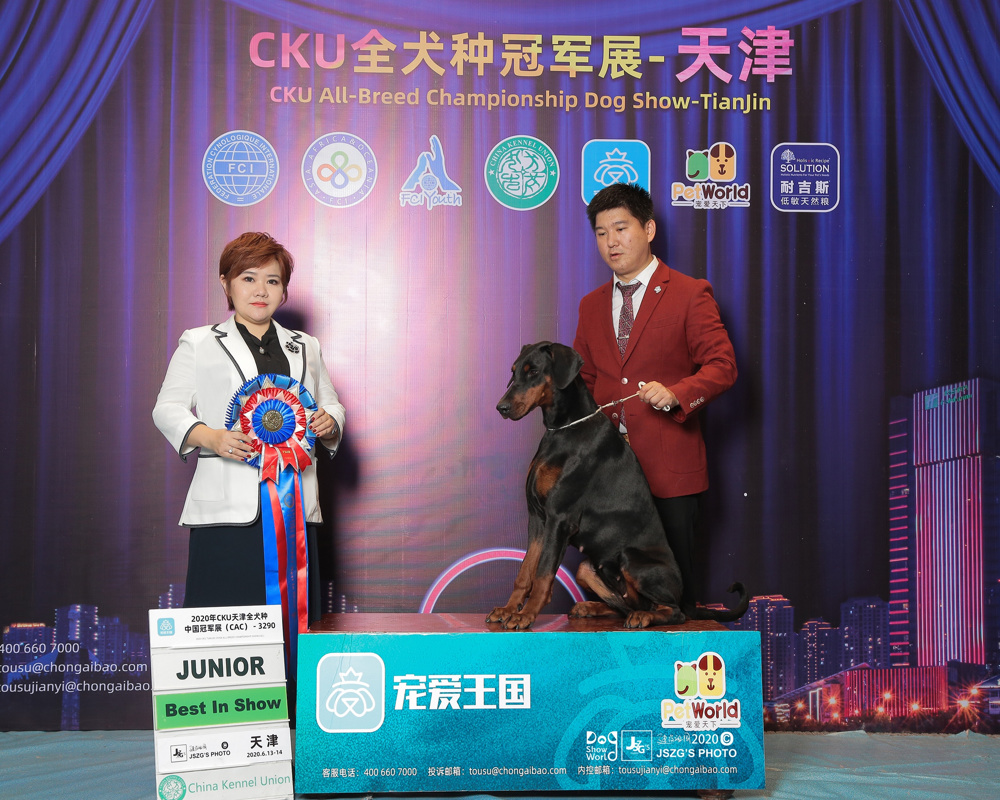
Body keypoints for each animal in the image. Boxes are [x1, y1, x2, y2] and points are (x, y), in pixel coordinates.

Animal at [489, 341, 748, 630]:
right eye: (513, 372)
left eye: (533, 371)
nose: (501, 407)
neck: (563, 429)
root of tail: (688, 601)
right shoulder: (537, 518)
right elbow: (526, 570)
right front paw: (508, 609)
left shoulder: (560, 519)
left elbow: (543, 573)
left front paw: (525, 615)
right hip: (586, 569)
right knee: (626, 605)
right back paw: (591, 607)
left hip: (633, 559)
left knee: (672, 611)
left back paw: (645, 616)